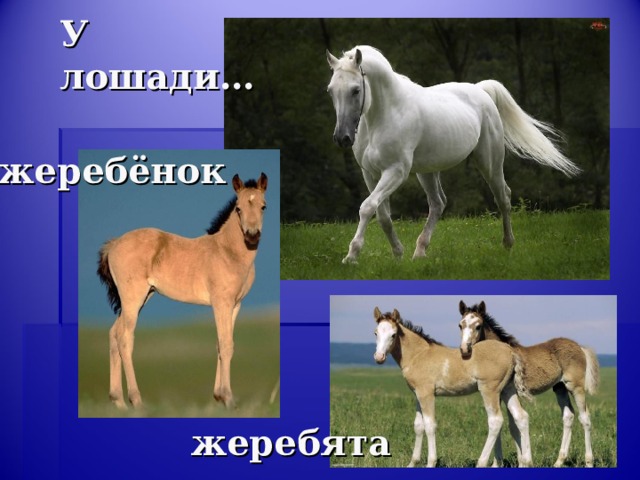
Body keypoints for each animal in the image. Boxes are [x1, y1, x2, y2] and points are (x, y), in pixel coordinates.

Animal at [97, 173, 268, 409]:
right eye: (239, 208)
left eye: (263, 206)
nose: (252, 235)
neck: (227, 252)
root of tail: (113, 244)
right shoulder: (221, 303)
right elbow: (226, 344)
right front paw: (228, 398)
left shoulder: (235, 305)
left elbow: (222, 344)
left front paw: (219, 396)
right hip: (133, 298)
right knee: (124, 338)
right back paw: (136, 400)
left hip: (140, 298)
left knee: (114, 333)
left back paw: (119, 402)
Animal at [326, 46, 580, 264]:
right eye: (331, 91)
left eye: (356, 90)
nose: (342, 138)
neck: (386, 114)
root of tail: (481, 90)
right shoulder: (370, 174)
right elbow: (382, 216)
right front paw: (397, 253)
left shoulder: (396, 171)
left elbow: (367, 207)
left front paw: (351, 256)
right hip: (427, 171)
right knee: (438, 203)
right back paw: (419, 252)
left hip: (489, 163)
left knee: (503, 197)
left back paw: (507, 244)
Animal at [373, 307, 533, 467]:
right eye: (375, 333)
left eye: (393, 335)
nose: (379, 357)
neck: (418, 355)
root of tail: (511, 351)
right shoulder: (417, 394)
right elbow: (418, 426)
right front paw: (413, 463)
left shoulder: (427, 394)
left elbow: (430, 425)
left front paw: (431, 462)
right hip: (507, 389)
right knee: (521, 417)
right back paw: (526, 461)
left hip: (490, 390)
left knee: (496, 421)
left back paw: (481, 462)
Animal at [458, 300, 600, 467]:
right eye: (460, 325)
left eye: (478, 326)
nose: (465, 349)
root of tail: (579, 347)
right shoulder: (501, 394)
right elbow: (509, 425)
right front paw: (502, 462)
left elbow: (512, 423)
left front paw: (518, 461)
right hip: (560, 388)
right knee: (568, 416)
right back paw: (559, 461)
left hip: (575, 386)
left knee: (585, 418)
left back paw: (589, 461)